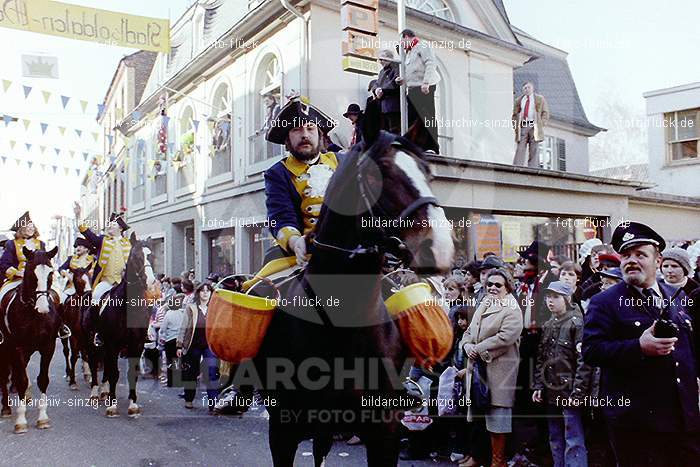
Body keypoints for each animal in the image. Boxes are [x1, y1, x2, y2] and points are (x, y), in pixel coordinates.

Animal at [0, 247, 60, 434]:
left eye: (50, 273)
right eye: (31, 274)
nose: (43, 308)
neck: (34, 315)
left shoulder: (48, 346)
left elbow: (43, 379)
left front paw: (43, 418)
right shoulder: (17, 348)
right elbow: (21, 379)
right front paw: (20, 421)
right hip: (6, 349)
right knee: (5, 375)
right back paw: (6, 408)